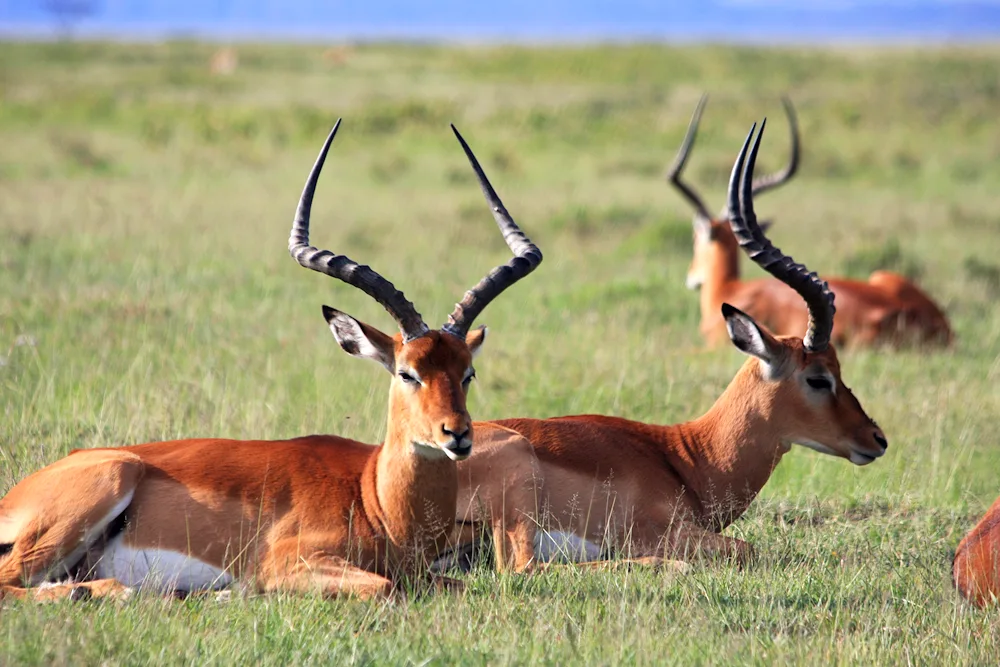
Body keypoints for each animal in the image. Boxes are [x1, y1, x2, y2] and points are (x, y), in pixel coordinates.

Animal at [0, 122, 544, 604]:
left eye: (467, 373)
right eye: (407, 372)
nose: (458, 435)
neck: (375, 500)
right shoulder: (287, 563)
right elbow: (384, 587)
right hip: (104, 485)